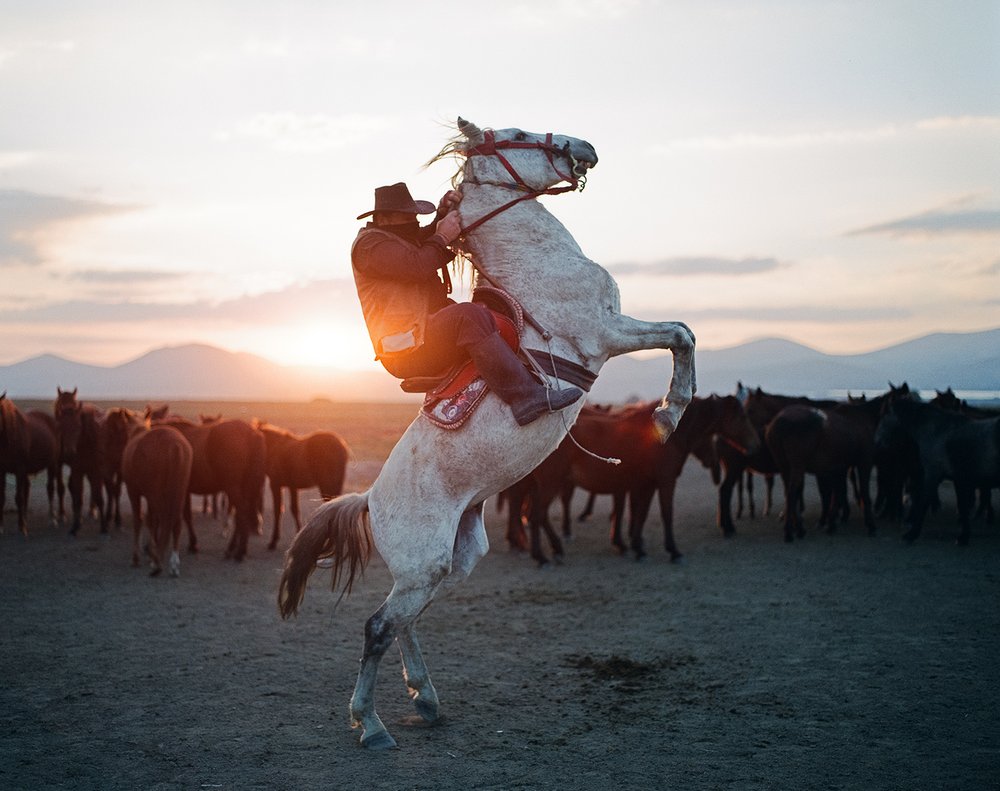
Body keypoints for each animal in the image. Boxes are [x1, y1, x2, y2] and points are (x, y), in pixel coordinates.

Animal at [0, 392, 62, 536]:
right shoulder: (2, 470)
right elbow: (3, 497)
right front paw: (1, 527)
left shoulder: (19, 469)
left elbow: (19, 497)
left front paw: (22, 527)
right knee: (27, 489)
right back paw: (26, 517)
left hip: (52, 464)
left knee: (50, 488)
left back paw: (52, 519)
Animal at [122, 426, 194, 576]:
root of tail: (175, 445)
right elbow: (152, 521)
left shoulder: (133, 491)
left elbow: (139, 520)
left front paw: (136, 557)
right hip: (180, 490)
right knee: (176, 522)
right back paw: (172, 562)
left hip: (156, 493)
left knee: (165, 519)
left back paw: (157, 562)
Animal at [154, 418, 268, 560]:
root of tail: (252, 433)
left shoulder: (182, 491)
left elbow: (186, 515)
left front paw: (193, 544)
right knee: (241, 516)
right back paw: (234, 548)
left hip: (233, 488)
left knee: (242, 514)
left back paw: (239, 551)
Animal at [252, 420, 350, 552]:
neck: (276, 447)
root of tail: (340, 446)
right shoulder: (293, 487)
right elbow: (295, 509)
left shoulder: (276, 484)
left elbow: (278, 511)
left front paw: (273, 541)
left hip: (327, 485)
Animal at [278, 117, 692, 748]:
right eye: (516, 132)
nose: (583, 147)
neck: (539, 268)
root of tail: (369, 499)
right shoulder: (607, 333)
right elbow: (680, 335)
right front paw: (669, 414)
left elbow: (682, 334)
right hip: (425, 565)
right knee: (378, 626)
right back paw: (370, 723)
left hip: (452, 562)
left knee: (406, 621)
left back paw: (425, 698)